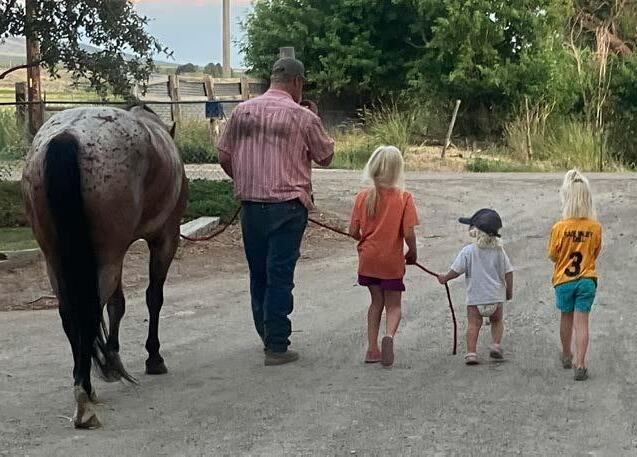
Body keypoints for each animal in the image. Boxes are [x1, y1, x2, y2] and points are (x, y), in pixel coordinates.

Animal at [21, 105, 188, 429]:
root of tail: (67, 136)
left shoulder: (117, 254)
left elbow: (117, 304)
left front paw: (112, 358)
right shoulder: (165, 239)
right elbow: (153, 297)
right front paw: (153, 357)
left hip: (57, 259)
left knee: (70, 315)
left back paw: (85, 385)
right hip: (108, 256)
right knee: (87, 313)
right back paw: (84, 398)